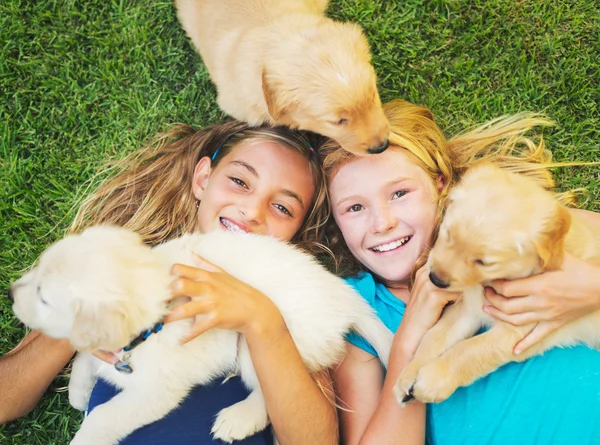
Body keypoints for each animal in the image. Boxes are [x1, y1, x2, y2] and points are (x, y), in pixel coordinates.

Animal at [11, 225, 394, 444]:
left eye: (44, 297)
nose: (11, 292)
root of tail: (341, 293)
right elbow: (84, 357)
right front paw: (80, 392)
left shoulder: (156, 393)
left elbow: (104, 416)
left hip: (263, 338)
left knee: (269, 393)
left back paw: (238, 419)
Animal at [394, 161, 600, 404]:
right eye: (447, 233)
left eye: (484, 262)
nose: (435, 279)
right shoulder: (468, 309)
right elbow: (433, 337)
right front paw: (408, 374)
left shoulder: (519, 330)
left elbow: (470, 350)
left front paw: (434, 379)